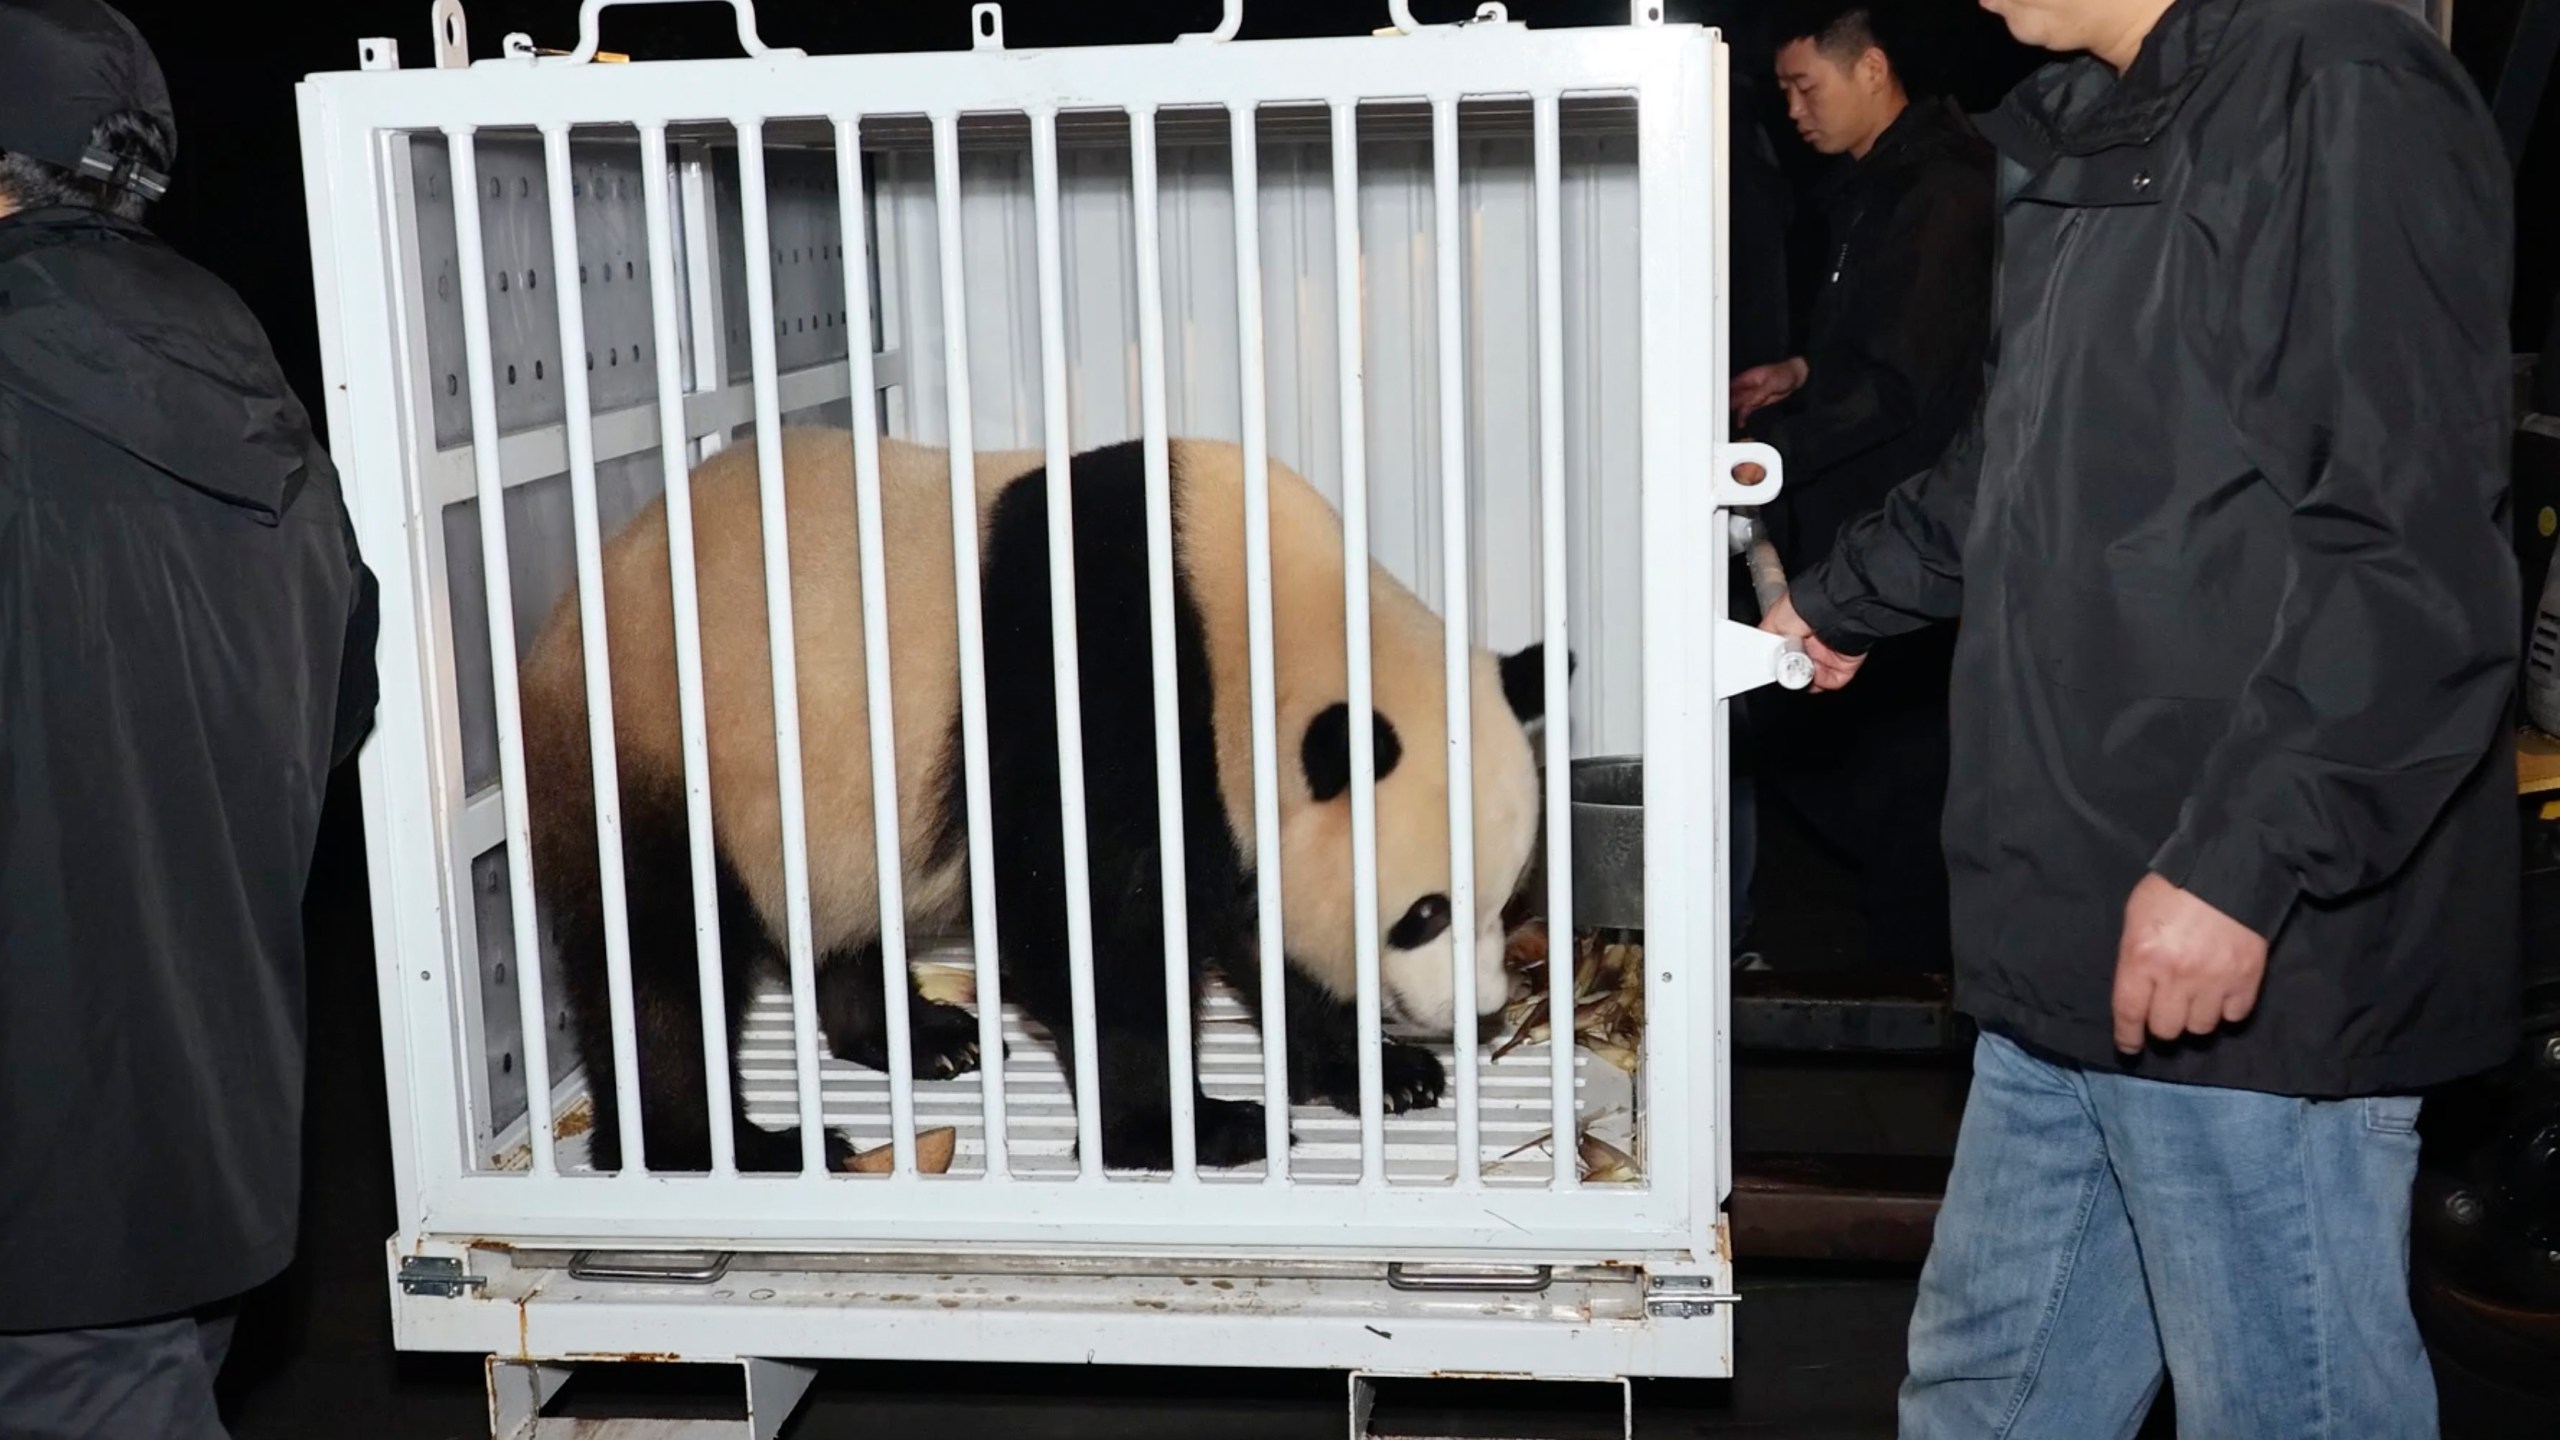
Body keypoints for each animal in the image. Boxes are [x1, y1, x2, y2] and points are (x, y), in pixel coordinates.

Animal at [519, 422, 1556, 1168]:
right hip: (661, 739)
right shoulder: (1102, 696)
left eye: (1509, 900)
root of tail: (557, 625)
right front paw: (1191, 1130)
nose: (1477, 1012)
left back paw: (925, 1037)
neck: (1249, 628)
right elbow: (1088, 932)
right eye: (1425, 912)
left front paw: (1383, 1072)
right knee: (657, 953)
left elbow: (1258, 927)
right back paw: (723, 1149)